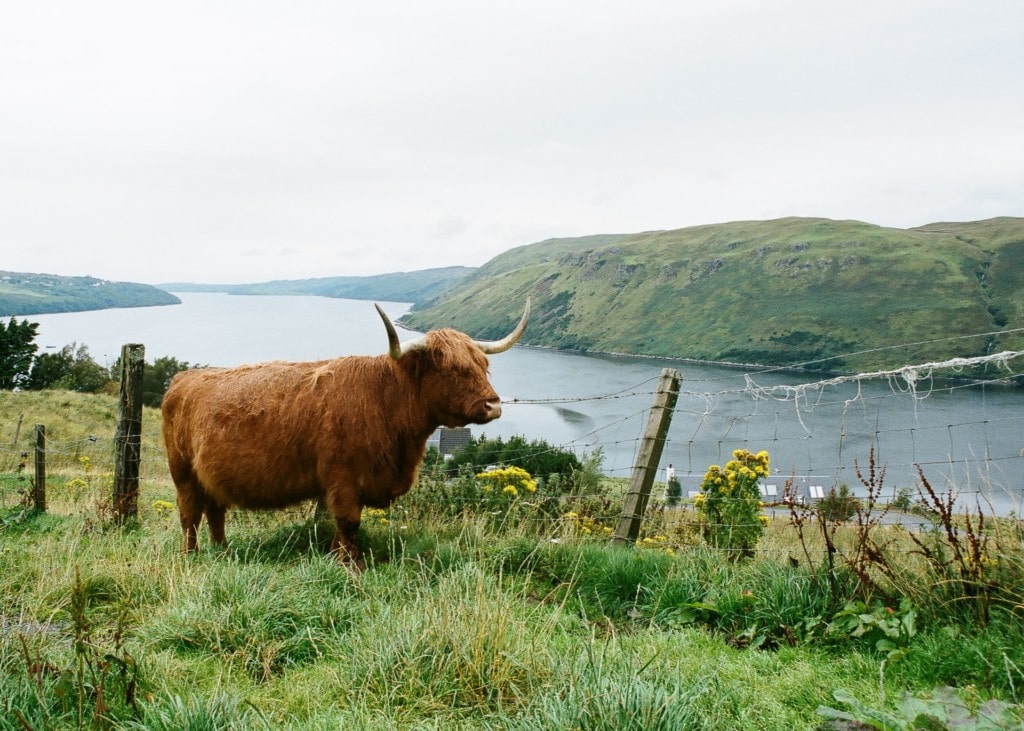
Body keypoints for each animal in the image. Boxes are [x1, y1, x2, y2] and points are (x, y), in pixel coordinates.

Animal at [163, 298, 532, 565]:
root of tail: (183, 378)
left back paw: (223, 552)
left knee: (215, 512)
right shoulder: (342, 479)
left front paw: (342, 557)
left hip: (211, 476)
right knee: (189, 514)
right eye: (452, 369)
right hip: (183, 473)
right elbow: (349, 523)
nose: (493, 405)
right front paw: (349, 564)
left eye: (484, 365)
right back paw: (191, 556)